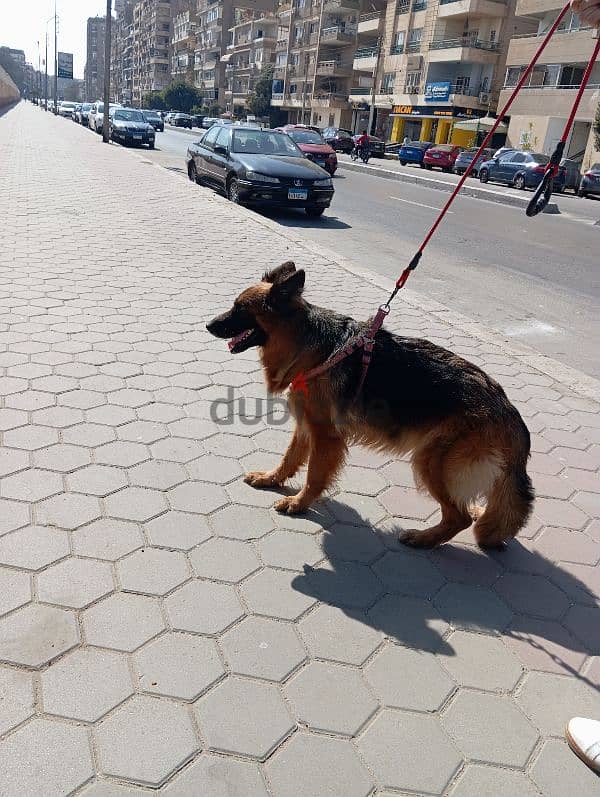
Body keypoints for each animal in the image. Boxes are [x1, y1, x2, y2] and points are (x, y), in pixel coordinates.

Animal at [207, 262, 536, 548]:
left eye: (240, 309)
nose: (208, 325)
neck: (311, 345)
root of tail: (508, 410)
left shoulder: (325, 436)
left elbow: (314, 476)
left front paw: (299, 503)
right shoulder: (305, 425)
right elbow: (289, 459)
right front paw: (270, 479)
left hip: (431, 462)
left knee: (459, 516)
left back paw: (423, 539)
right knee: (469, 508)